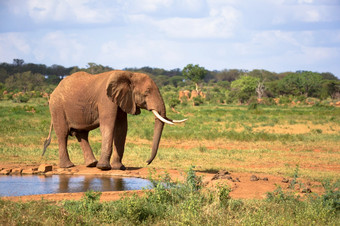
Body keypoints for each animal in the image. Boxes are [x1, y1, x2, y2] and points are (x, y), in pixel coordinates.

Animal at [43, 70, 186, 170]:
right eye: (147, 92)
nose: (147, 162)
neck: (129, 74)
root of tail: (53, 91)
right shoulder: (106, 100)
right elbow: (108, 126)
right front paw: (104, 168)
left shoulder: (123, 100)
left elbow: (122, 128)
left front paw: (119, 167)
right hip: (57, 107)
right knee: (63, 134)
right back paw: (68, 166)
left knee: (81, 134)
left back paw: (92, 164)